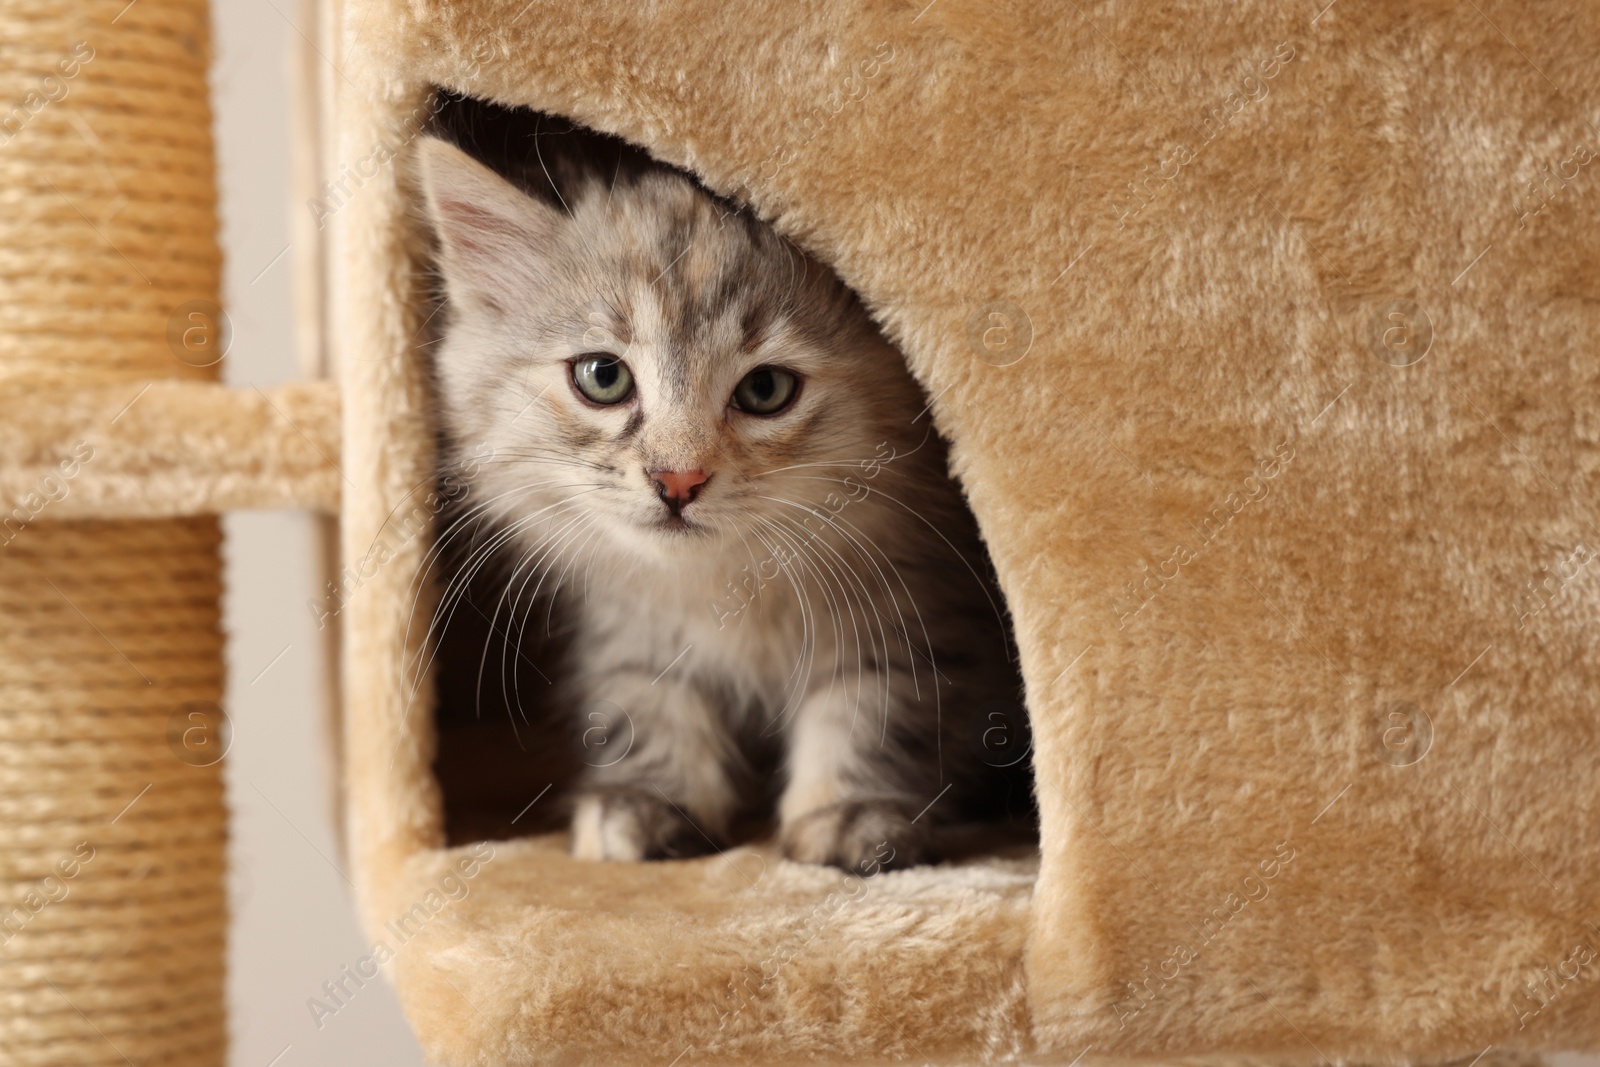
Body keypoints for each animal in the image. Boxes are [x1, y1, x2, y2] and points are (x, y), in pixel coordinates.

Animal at [419, 129, 1017, 870]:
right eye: (603, 377)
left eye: (765, 390)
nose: (678, 479)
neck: (727, 587)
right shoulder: (631, 625)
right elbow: (647, 698)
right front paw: (651, 801)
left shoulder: (919, 609)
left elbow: (874, 704)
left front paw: (848, 814)